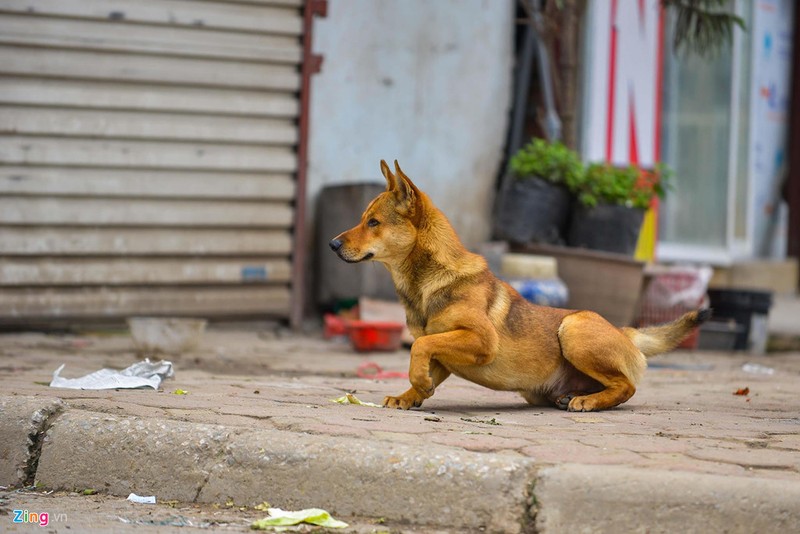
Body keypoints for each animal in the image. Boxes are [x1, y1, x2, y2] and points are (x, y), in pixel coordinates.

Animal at [328, 161, 708, 412]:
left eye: (373, 223)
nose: (332, 244)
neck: (427, 281)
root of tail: (625, 332)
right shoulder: (443, 353)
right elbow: (423, 353)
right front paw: (411, 394)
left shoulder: (480, 340)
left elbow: (418, 348)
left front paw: (419, 385)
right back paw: (572, 396)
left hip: (574, 327)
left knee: (626, 386)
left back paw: (588, 401)